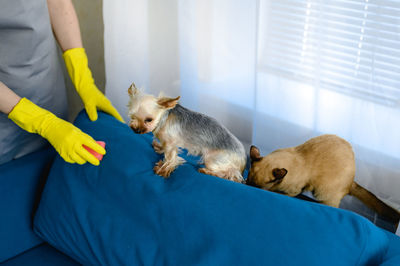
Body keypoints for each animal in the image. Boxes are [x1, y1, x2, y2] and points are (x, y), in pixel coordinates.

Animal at [247, 133, 400, 222]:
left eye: (257, 187)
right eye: (248, 182)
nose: (248, 188)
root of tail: (351, 182)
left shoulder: (293, 190)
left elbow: (280, 193)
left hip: (323, 193)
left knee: (331, 207)